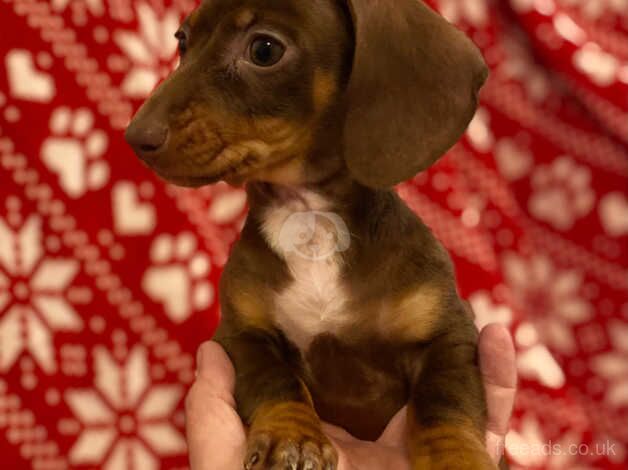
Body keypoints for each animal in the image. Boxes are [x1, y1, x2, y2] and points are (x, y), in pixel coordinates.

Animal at [125, 0, 494, 470]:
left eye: (264, 50)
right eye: (182, 42)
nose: (136, 137)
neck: (309, 217)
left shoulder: (450, 335)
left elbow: (442, 403)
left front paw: (457, 458)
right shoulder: (241, 334)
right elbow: (275, 380)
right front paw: (293, 437)